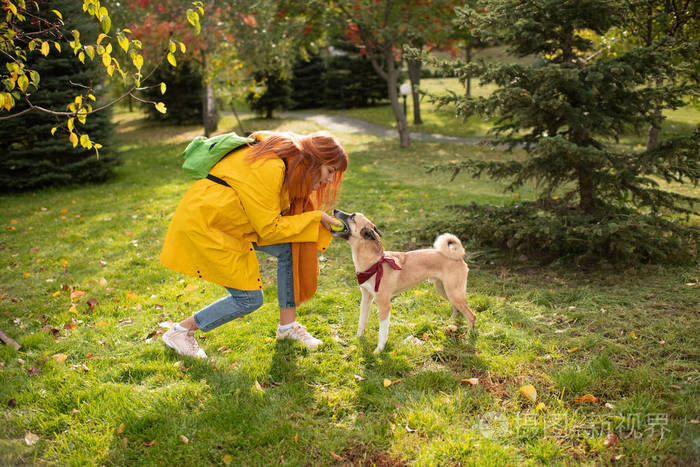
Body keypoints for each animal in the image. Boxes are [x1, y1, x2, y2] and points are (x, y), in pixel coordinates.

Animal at [332, 210, 476, 352]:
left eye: (352, 217)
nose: (335, 210)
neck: (374, 262)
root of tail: (457, 257)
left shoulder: (384, 306)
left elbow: (382, 332)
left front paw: (379, 351)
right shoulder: (366, 299)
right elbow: (361, 322)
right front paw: (358, 339)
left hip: (453, 293)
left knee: (471, 316)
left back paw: (468, 337)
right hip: (444, 291)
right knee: (458, 309)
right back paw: (451, 323)